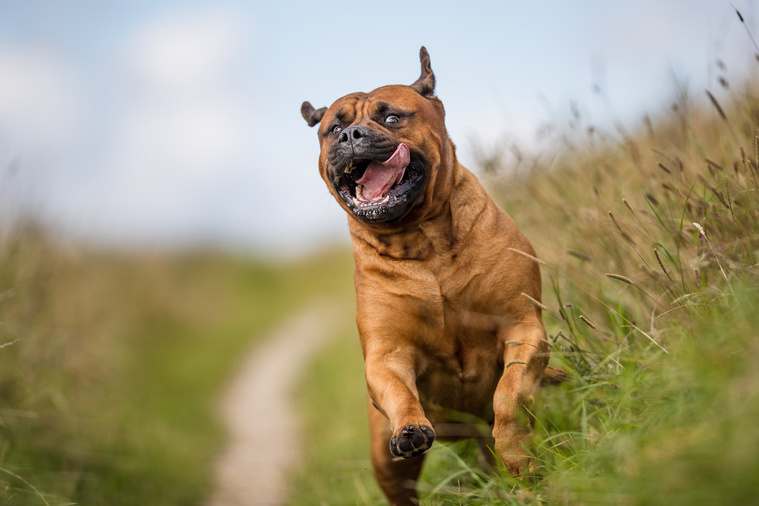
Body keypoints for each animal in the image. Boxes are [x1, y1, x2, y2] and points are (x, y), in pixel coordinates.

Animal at [300, 46, 548, 502]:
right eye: (333, 129)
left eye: (392, 117)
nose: (350, 136)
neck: (422, 240)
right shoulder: (387, 353)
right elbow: (399, 389)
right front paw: (410, 426)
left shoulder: (523, 327)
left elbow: (509, 393)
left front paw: (518, 453)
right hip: (386, 463)